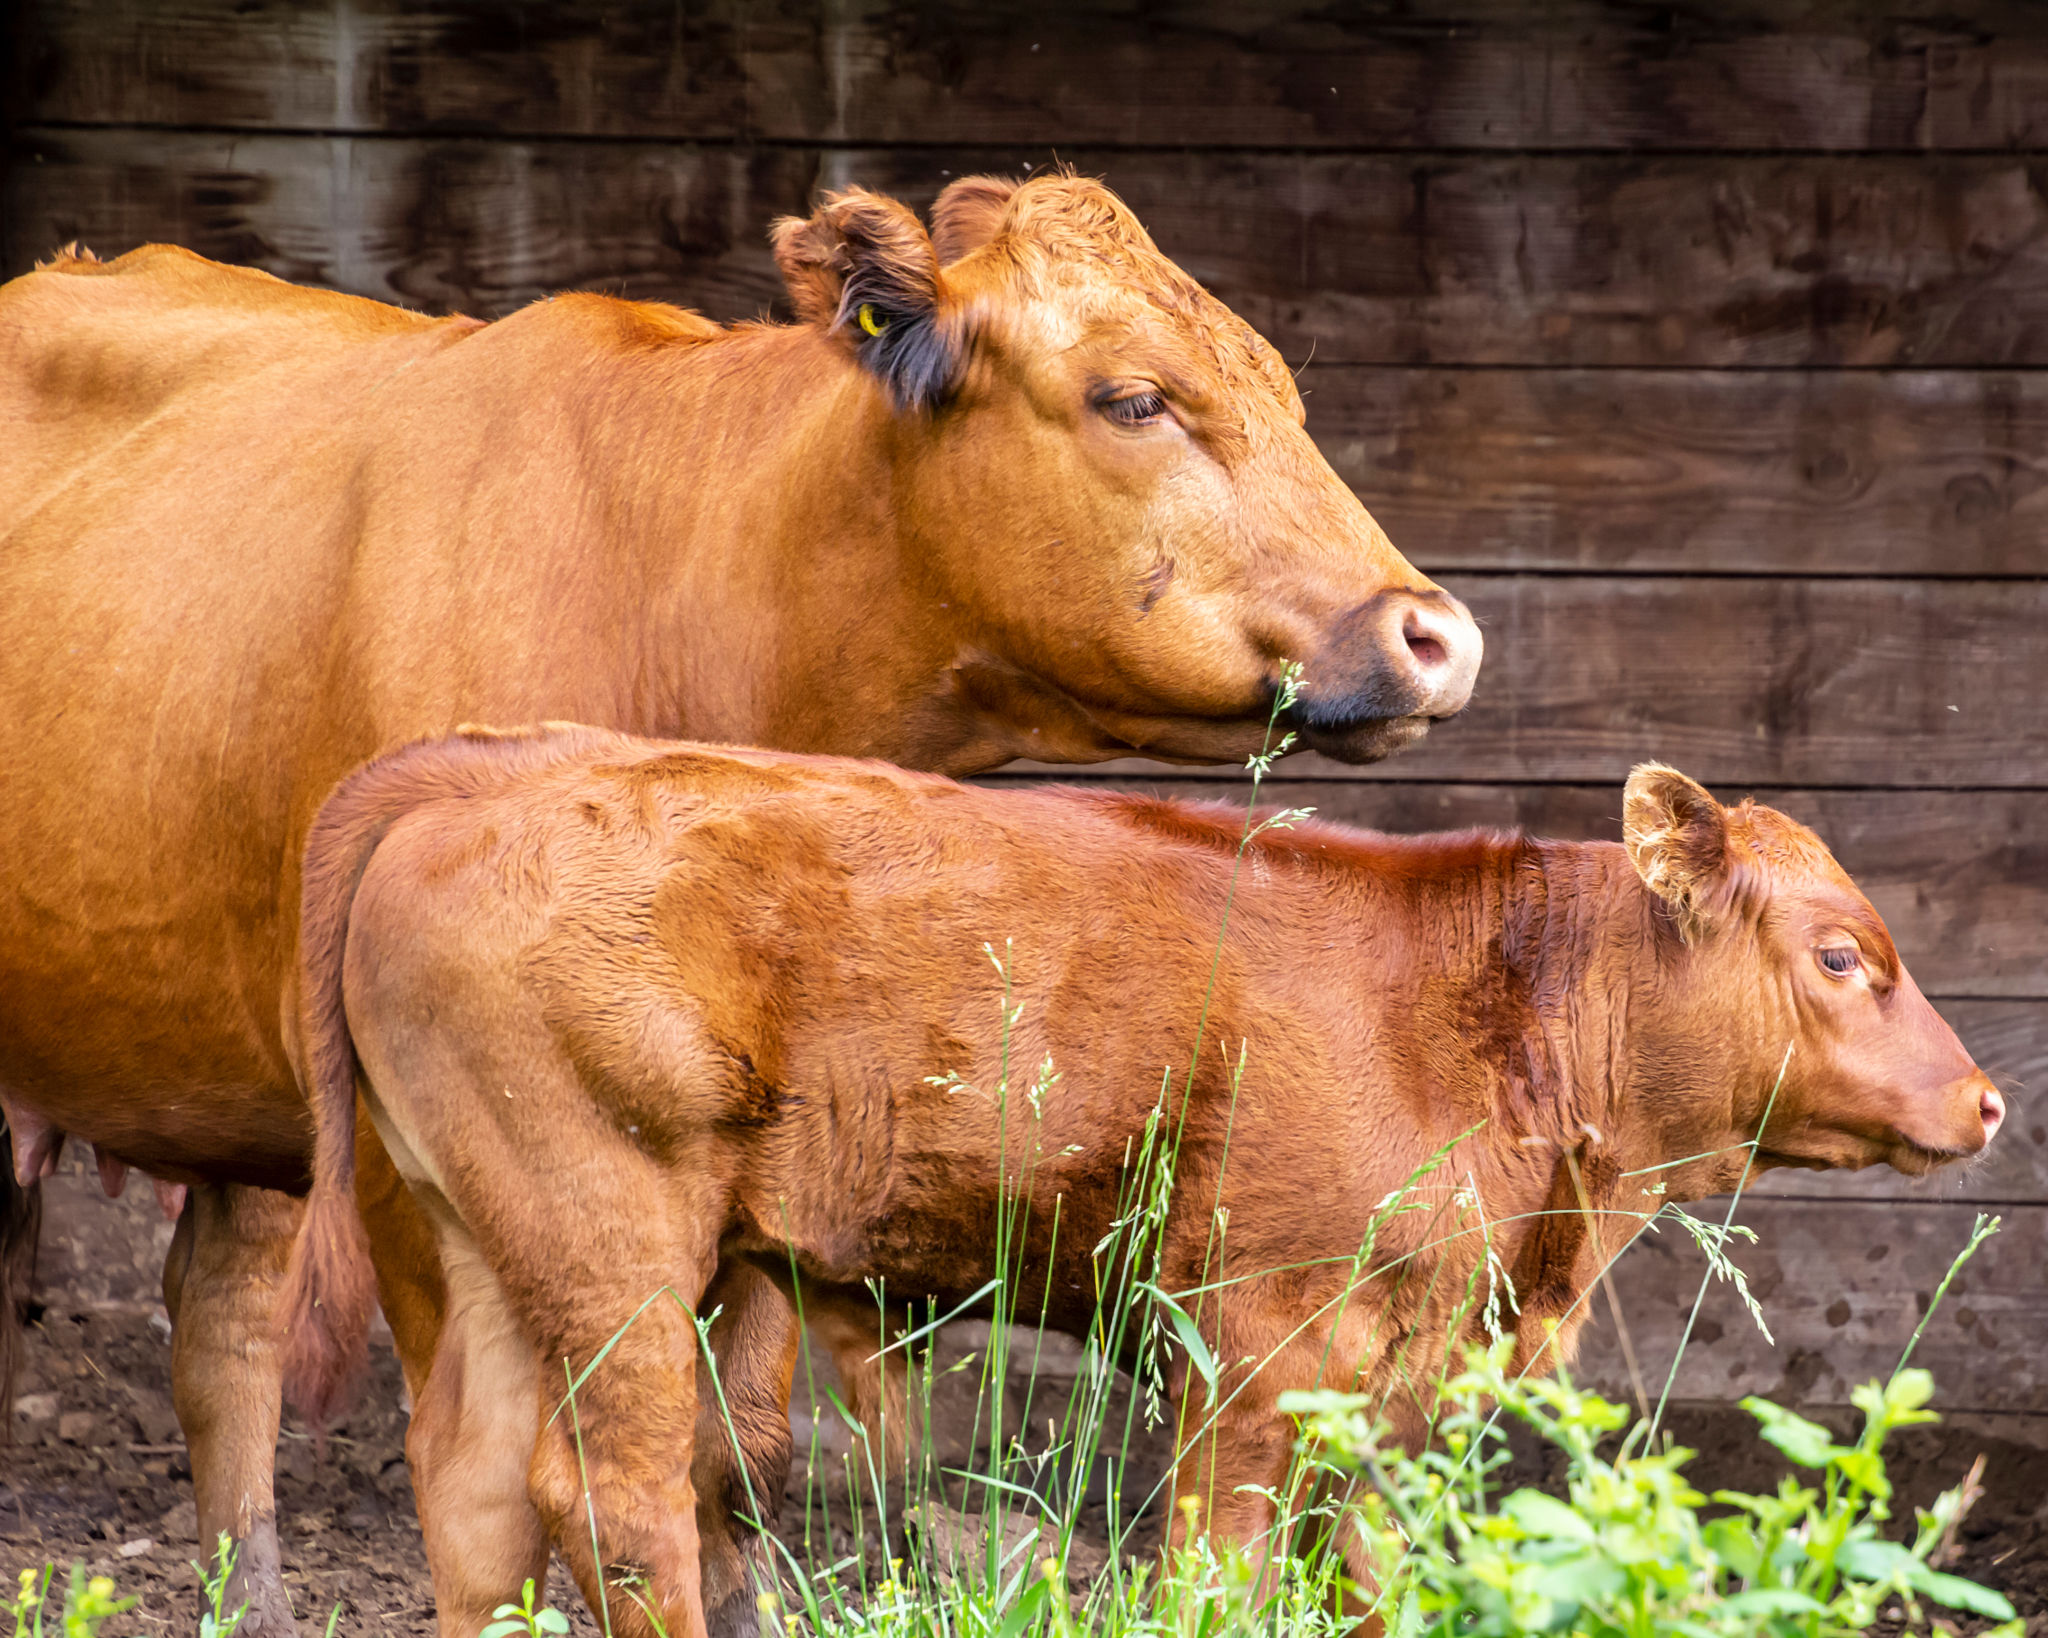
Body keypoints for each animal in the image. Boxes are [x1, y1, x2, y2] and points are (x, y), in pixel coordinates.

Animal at [0, 171, 1481, 1627]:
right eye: (1133, 397)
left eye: (1285, 388)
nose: (1437, 634)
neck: (695, 579)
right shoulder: (419, 1178)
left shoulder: (780, 1166)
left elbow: (736, 1452)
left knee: (224, 1314)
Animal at [280, 729, 2003, 1638]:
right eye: (1841, 955)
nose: (1989, 1099)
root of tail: (492, 764)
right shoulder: (1252, 1334)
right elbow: (1223, 1559)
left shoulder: (1377, 1365)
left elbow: (1351, 1554)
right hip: (616, 1229)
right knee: (619, 1489)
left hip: (493, 1239)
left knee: (477, 1481)